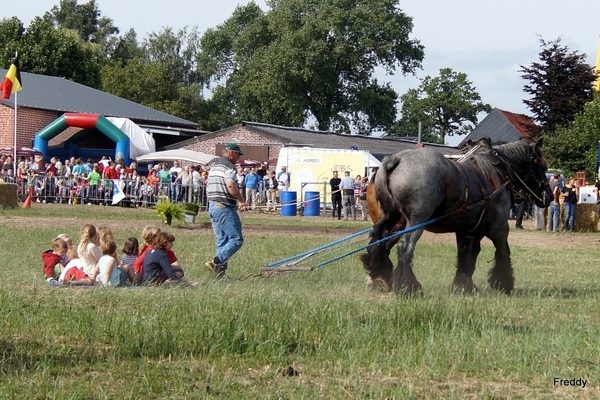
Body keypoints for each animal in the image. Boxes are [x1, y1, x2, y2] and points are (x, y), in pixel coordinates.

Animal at [360, 139, 552, 296]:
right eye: (543, 167)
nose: (548, 196)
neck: (497, 174)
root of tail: (396, 160)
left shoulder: (467, 231)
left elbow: (466, 257)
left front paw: (463, 285)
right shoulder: (499, 228)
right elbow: (503, 252)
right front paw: (503, 283)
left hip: (391, 217)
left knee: (379, 239)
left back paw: (380, 275)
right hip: (416, 220)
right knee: (404, 247)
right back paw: (409, 287)